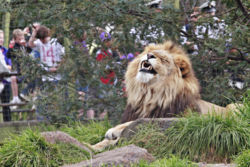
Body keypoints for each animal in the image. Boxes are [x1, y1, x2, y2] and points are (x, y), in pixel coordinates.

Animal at [91, 41, 238, 151]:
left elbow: (134, 123)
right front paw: (92, 147)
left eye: (163, 59)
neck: (149, 95)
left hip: (234, 106)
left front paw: (113, 131)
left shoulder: (182, 118)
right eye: (149, 52)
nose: (149, 55)